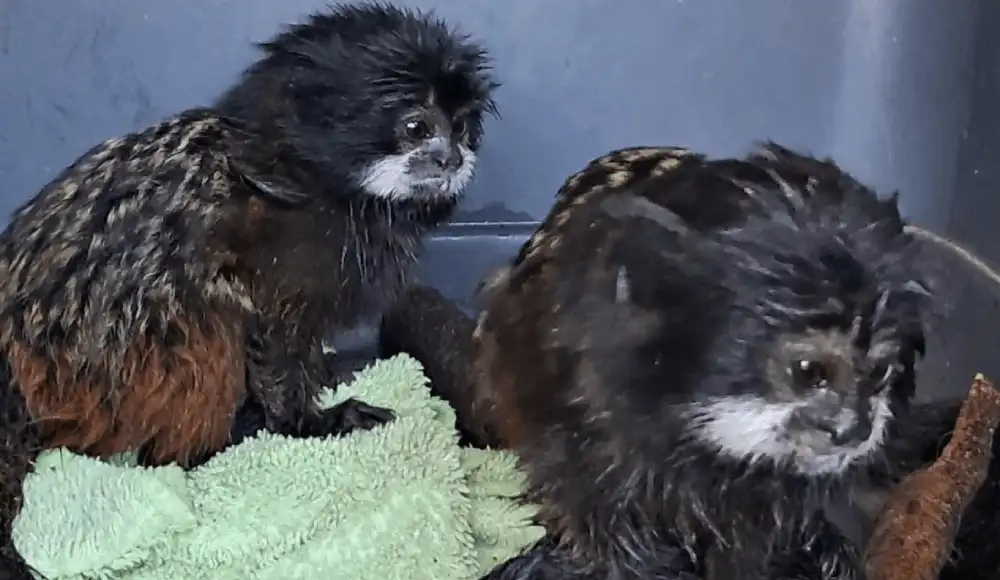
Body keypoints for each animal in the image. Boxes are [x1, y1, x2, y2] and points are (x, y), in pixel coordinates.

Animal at [0, 3, 497, 576]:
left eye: (461, 128)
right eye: (417, 127)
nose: (452, 158)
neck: (313, 179)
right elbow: (267, 331)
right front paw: (309, 422)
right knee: (199, 327)